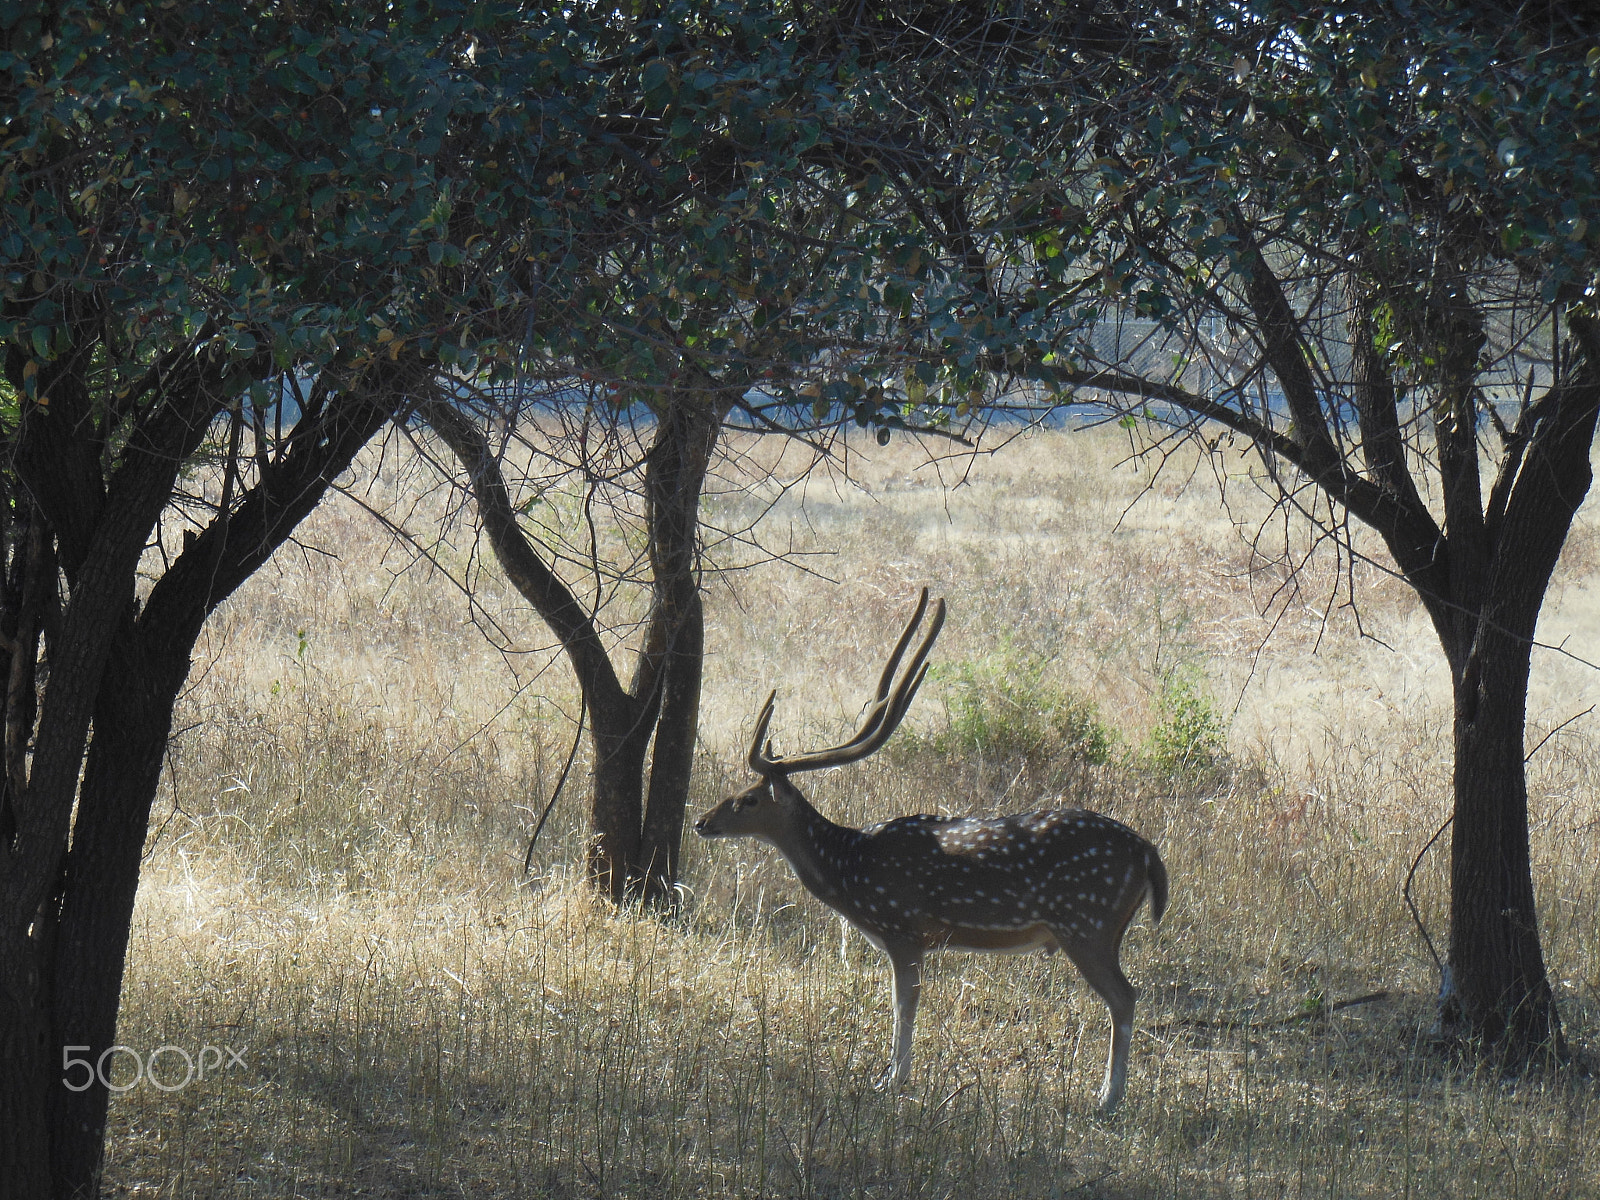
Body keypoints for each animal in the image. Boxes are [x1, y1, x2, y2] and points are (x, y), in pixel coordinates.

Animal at [695, 590, 1168, 1115]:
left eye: (749, 799)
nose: (702, 822)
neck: (850, 870)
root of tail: (1148, 853)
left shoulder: (904, 928)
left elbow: (904, 1004)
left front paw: (892, 1080)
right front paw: (890, 1076)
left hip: (1087, 922)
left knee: (1125, 996)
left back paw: (1108, 1098)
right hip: (1100, 928)